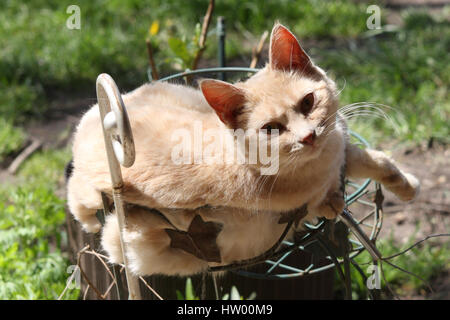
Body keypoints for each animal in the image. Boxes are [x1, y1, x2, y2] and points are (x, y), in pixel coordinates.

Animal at [67, 23, 418, 276]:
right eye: (271, 129)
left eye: (308, 102)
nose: (308, 137)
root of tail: (99, 120)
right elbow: (323, 200)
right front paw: (333, 203)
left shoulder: (340, 144)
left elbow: (376, 160)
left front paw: (407, 186)